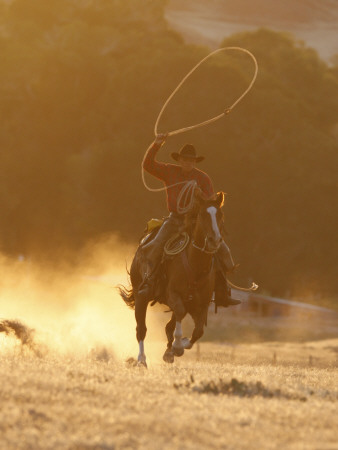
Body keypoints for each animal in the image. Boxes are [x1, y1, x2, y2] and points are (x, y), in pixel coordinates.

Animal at [117, 191, 226, 366]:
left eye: (220, 215)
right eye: (203, 214)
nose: (214, 240)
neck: (195, 266)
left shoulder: (202, 304)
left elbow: (198, 331)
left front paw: (177, 347)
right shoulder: (173, 295)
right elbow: (180, 315)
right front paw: (177, 346)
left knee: (169, 325)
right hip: (141, 297)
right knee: (141, 329)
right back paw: (141, 360)